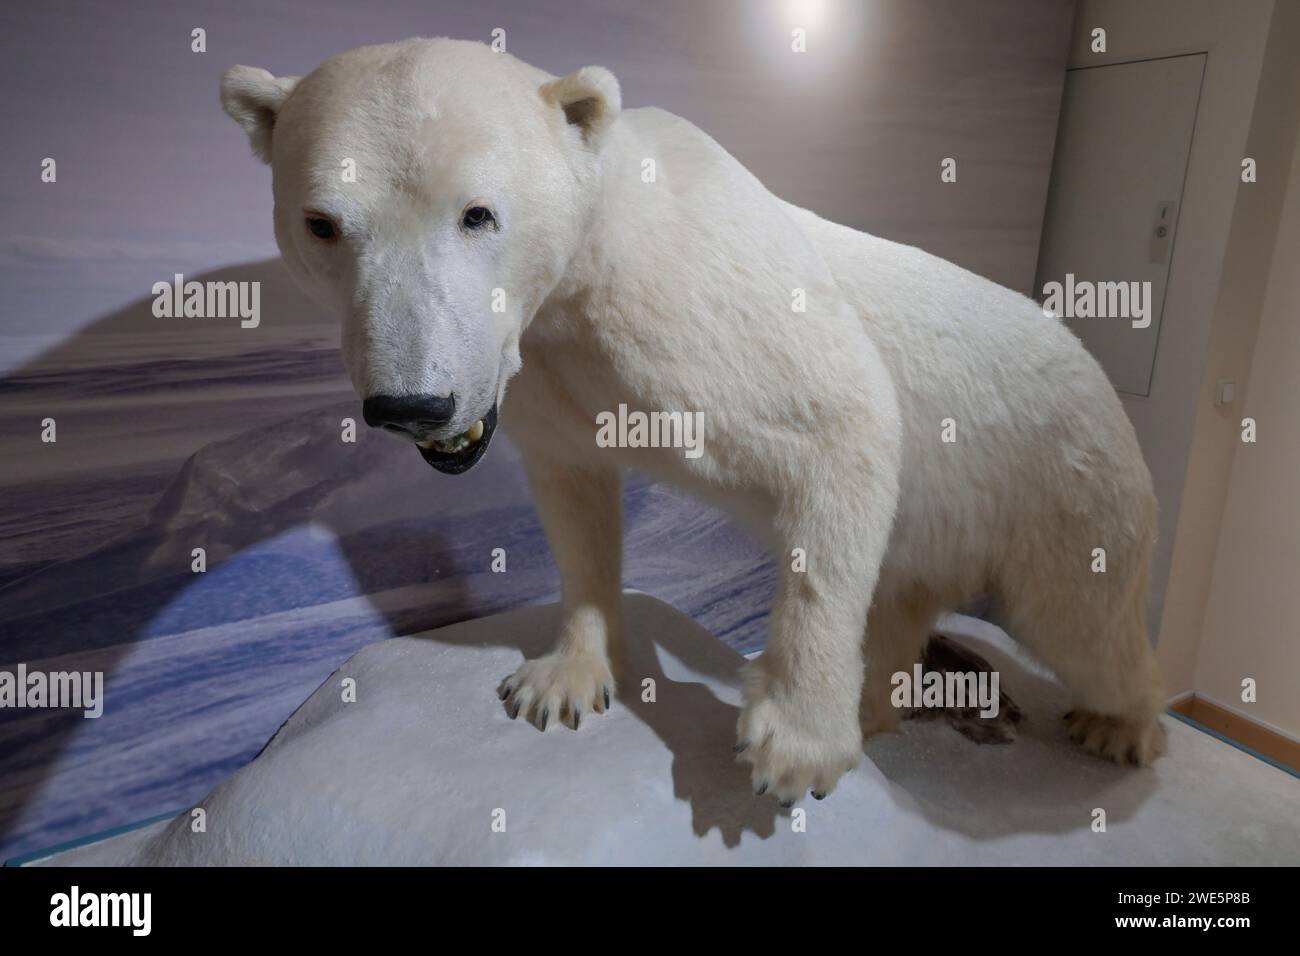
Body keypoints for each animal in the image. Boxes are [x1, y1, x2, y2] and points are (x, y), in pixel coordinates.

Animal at [218, 37, 1164, 806]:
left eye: (478, 212)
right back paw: (876, 702)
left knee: (1083, 623)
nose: (412, 404)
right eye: (322, 223)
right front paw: (565, 678)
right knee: (903, 590)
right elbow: (575, 499)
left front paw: (795, 742)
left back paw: (1120, 725)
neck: (592, 263)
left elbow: (843, 418)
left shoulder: (697, 295)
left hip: (1060, 485)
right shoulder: (549, 372)